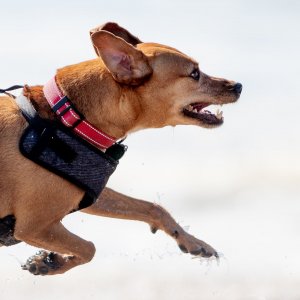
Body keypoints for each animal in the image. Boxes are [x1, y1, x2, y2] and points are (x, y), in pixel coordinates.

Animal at [0, 22, 240, 276]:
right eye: (194, 73)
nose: (239, 86)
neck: (67, 119)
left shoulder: (88, 191)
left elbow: (152, 208)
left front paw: (193, 242)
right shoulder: (33, 227)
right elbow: (89, 248)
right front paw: (50, 263)